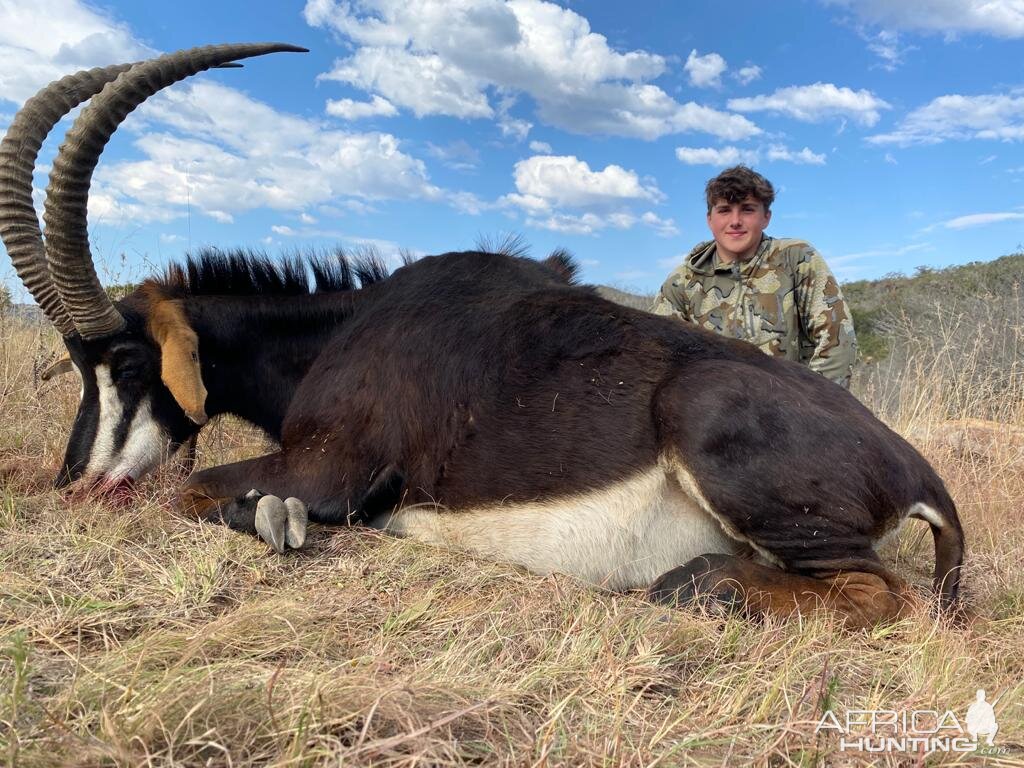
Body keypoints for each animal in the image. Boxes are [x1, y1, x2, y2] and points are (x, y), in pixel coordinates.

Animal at [0, 41, 962, 626]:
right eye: (79, 367)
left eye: (128, 362)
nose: (75, 488)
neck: (345, 333)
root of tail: (917, 472)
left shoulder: (333, 466)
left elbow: (193, 493)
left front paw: (275, 517)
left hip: (721, 437)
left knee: (887, 595)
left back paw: (699, 583)